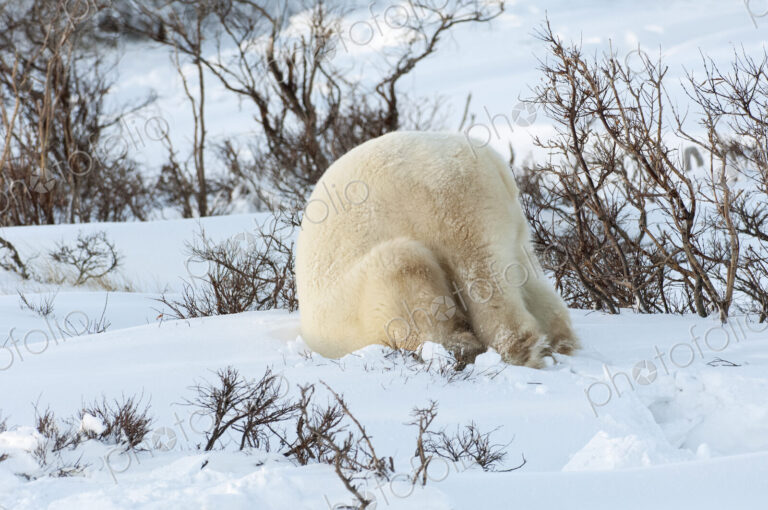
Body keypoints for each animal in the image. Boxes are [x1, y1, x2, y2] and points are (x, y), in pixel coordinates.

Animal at [295, 131, 578, 368]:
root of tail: (492, 164)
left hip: (443, 210)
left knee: (426, 266)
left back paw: (506, 347)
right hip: (500, 219)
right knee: (522, 273)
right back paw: (559, 340)